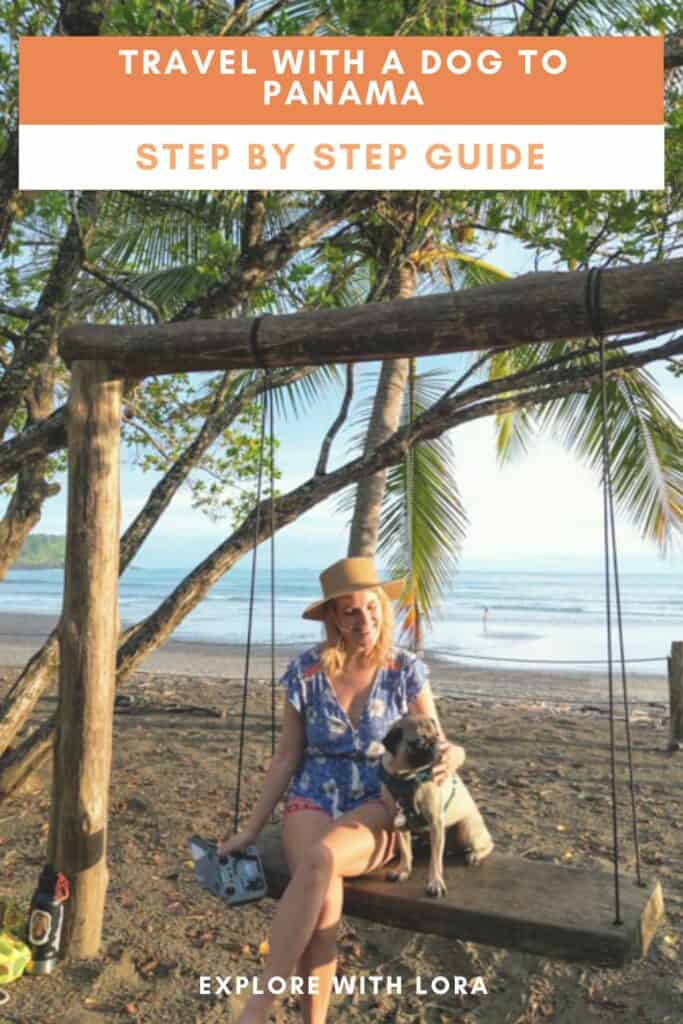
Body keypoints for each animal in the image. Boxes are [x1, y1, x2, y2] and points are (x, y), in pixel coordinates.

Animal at [382, 712, 493, 897]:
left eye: (437, 737)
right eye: (419, 742)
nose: (435, 745)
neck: (407, 776)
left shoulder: (435, 822)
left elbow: (435, 861)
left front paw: (435, 882)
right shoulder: (399, 823)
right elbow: (405, 850)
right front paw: (403, 870)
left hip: (466, 828)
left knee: (488, 844)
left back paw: (474, 855)